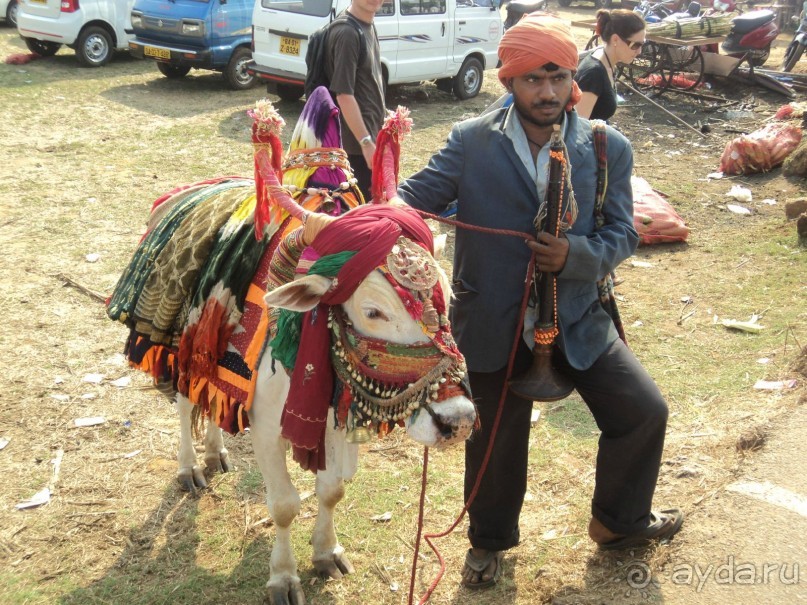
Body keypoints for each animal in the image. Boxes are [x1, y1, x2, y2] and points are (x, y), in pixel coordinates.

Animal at [105, 89, 474, 604]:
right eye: (373, 311)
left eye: (446, 299)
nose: (456, 421)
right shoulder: (265, 427)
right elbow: (283, 505)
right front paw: (283, 576)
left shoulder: (334, 424)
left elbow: (332, 490)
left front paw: (327, 553)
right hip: (183, 350)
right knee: (183, 402)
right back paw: (190, 468)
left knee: (212, 399)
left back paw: (215, 453)